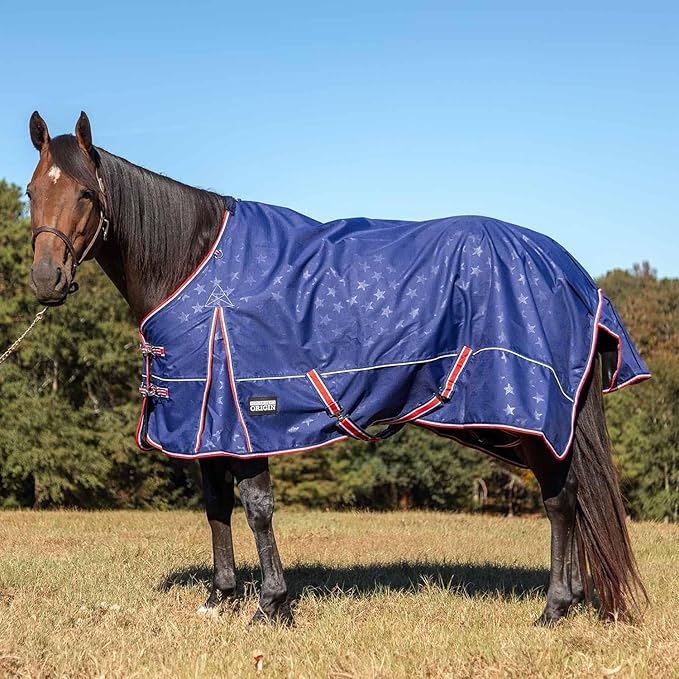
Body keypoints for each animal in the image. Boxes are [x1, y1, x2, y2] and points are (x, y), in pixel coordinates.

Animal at [25, 111, 648, 625]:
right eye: (31, 191)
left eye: (86, 193)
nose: (45, 279)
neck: (194, 265)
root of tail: (570, 271)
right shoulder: (205, 422)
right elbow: (216, 506)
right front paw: (221, 599)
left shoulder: (246, 417)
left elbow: (257, 509)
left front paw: (271, 606)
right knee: (568, 497)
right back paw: (571, 602)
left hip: (533, 418)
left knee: (561, 501)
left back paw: (553, 609)